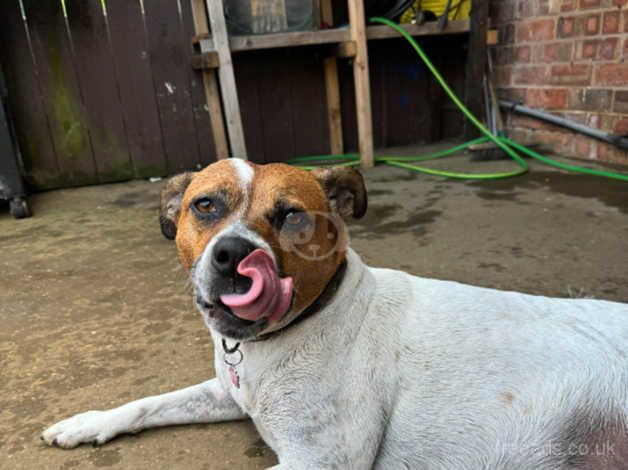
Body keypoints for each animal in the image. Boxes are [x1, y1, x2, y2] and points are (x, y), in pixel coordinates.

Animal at [41, 160, 624, 468]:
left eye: (291, 215)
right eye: (205, 205)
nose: (232, 255)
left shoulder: (321, 460)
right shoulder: (226, 392)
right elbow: (147, 403)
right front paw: (86, 423)